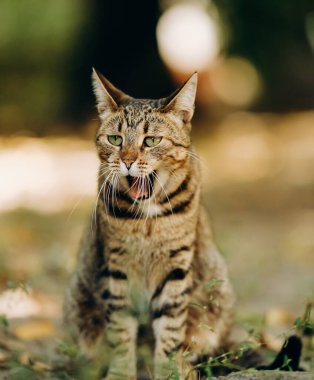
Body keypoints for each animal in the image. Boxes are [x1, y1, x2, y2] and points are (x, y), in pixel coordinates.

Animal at [63, 69, 234, 380]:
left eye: (152, 140)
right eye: (115, 139)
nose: (128, 161)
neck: (146, 220)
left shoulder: (176, 267)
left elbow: (170, 328)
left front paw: (167, 370)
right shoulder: (116, 266)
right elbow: (120, 328)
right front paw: (120, 373)